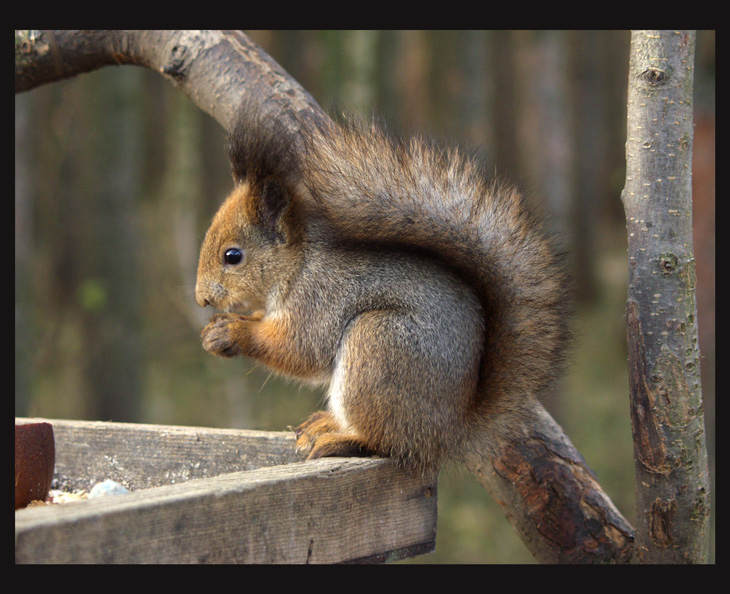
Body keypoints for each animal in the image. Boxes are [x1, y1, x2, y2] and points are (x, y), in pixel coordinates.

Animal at [195, 107, 568, 472]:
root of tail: (449, 430)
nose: (202, 299)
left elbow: (299, 349)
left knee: (386, 442)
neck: (299, 264)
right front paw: (220, 326)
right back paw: (324, 425)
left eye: (233, 256)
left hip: (377, 345)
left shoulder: (319, 298)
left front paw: (232, 332)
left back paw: (341, 440)